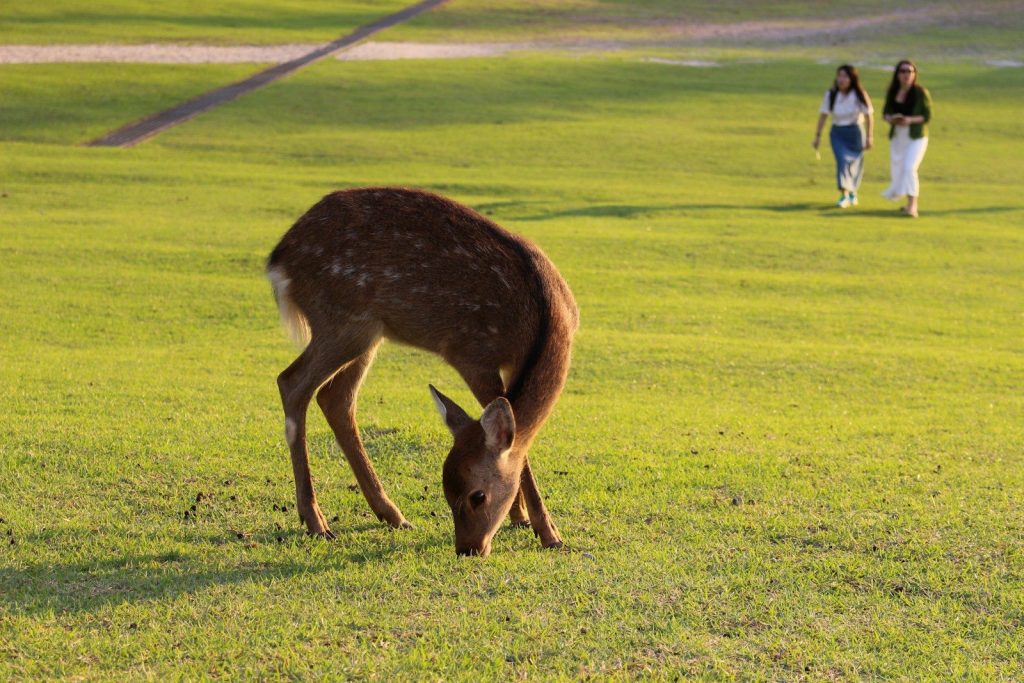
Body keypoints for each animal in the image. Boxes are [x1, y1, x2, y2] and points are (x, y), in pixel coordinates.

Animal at [266, 187, 578, 557]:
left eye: (477, 496)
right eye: (450, 492)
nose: (467, 549)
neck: (541, 320)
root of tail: (279, 260)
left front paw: (522, 518)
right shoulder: (471, 353)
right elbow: (520, 447)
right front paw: (549, 534)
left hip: (368, 332)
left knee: (335, 397)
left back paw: (391, 515)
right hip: (341, 321)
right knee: (293, 382)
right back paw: (316, 521)